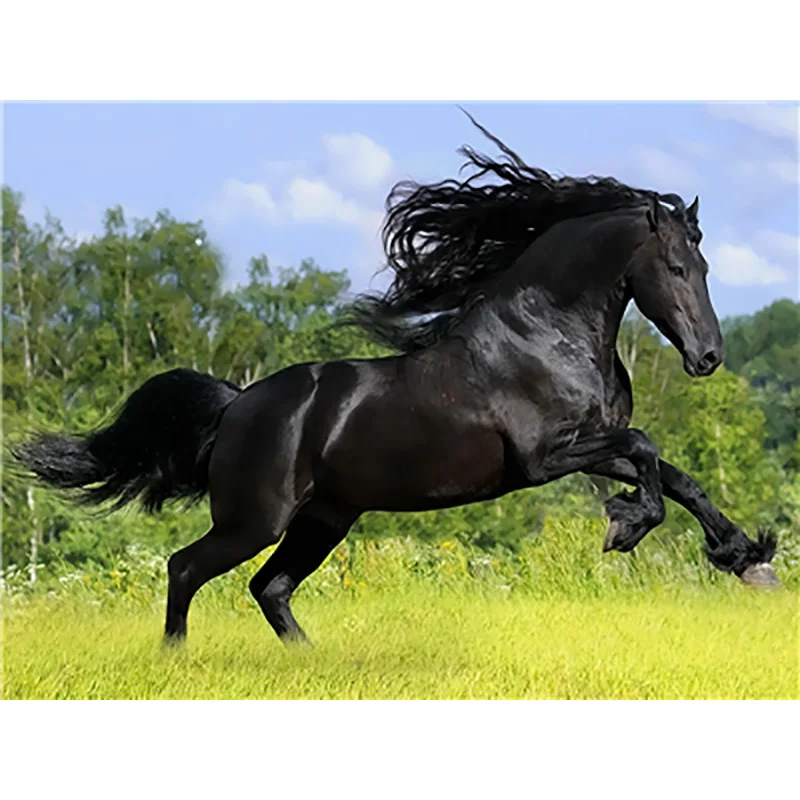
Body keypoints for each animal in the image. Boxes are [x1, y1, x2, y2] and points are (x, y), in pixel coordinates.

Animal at [14, 115, 780, 647]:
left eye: (705, 267)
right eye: (676, 268)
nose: (708, 357)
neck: (545, 333)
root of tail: (236, 406)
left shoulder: (590, 446)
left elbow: (678, 477)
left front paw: (747, 557)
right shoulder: (546, 457)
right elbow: (649, 450)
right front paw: (627, 528)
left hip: (323, 519)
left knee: (270, 587)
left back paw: (311, 660)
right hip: (254, 518)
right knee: (185, 567)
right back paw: (175, 658)